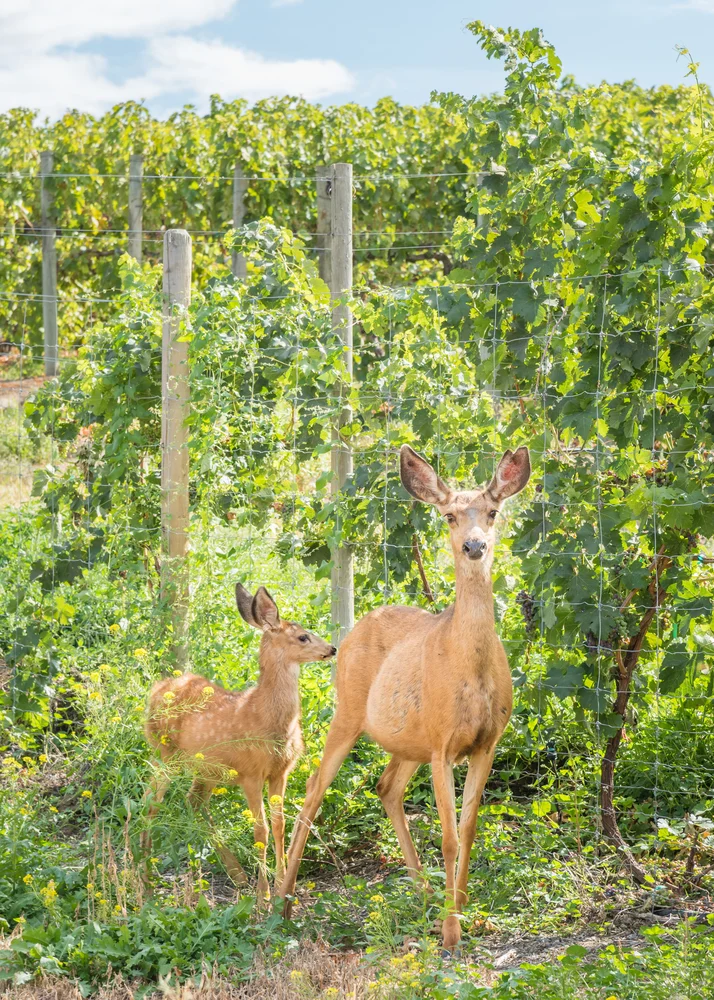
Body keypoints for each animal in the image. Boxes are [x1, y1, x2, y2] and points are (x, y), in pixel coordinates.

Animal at [145, 584, 336, 904]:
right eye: (302, 636)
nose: (332, 649)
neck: (267, 719)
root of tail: (157, 690)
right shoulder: (250, 772)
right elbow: (261, 831)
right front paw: (264, 896)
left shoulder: (280, 772)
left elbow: (280, 825)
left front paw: (283, 886)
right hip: (165, 752)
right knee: (151, 800)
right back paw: (140, 870)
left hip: (206, 769)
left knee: (193, 801)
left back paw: (236, 874)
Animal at [278, 444, 528, 944]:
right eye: (450, 516)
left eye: (493, 512)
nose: (475, 546)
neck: (470, 668)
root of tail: (354, 629)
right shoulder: (443, 743)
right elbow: (448, 836)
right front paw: (452, 932)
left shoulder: (486, 743)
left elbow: (470, 828)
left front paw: (464, 909)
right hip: (349, 711)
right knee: (313, 790)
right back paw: (283, 902)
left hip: (409, 739)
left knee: (386, 787)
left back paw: (425, 896)